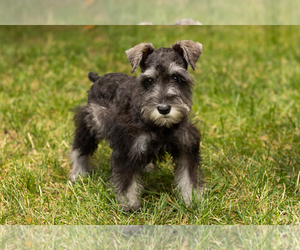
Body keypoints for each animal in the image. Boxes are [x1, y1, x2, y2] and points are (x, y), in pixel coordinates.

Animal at [69, 39, 204, 211]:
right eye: (149, 80)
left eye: (176, 77)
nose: (163, 109)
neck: (160, 126)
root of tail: (98, 78)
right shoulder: (127, 148)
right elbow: (127, 182)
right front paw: (130, 205)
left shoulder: (186, 147)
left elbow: (189, 177)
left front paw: (193, 200)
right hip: (91, 122)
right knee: (80, 148)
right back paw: (78, 174)